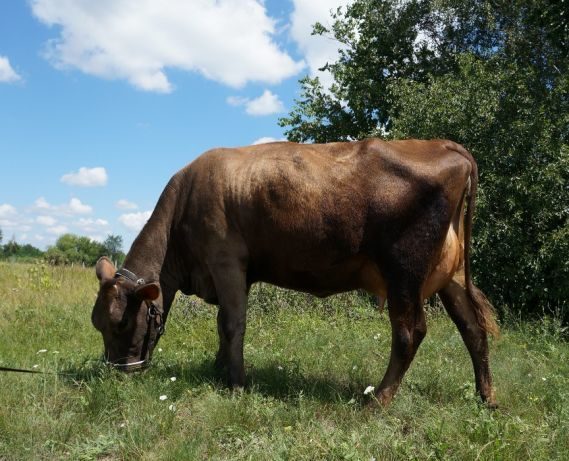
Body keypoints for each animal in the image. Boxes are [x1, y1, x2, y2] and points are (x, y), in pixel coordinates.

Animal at [90, 138, 496, 404]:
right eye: (97, 323)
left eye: (121, 323)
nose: (119, 371)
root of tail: (446, 145)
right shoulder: (235, 273)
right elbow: (224, 322)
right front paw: (220, 369)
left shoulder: (226, 261)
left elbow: (232, 323)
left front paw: (237, 385)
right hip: (451, 276)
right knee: (473, 329)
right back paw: (486, 397)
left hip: (404, 272)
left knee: (410, 333)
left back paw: (378, 399)